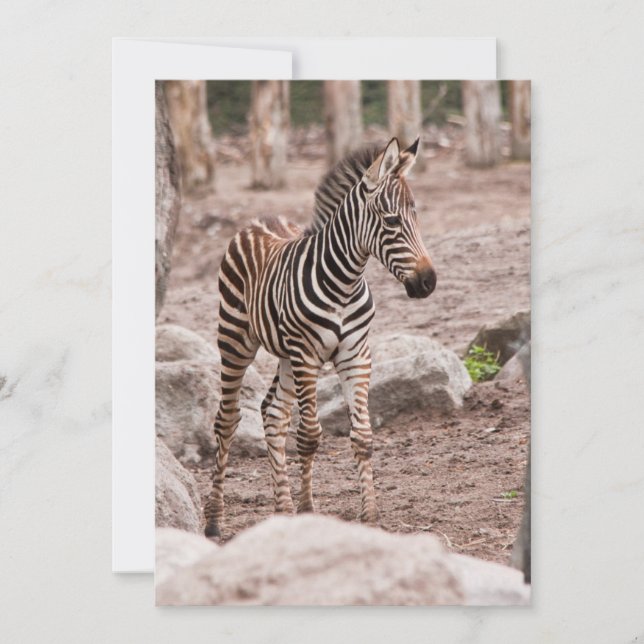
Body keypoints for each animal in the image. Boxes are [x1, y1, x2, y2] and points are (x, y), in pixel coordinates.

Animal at [204, 137, 436, 538]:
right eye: (392, 221)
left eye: (417, 216)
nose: (429, 282)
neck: (345, 282)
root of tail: (261, 219)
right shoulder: (307, 355)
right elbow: (310, 436)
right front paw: (308, 511)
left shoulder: (355, 355)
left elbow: (362, 437)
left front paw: (367, 517)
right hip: (236, 339)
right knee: (228, 420)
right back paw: (215, 521)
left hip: (284, 354)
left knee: (273, 413)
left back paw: (281, 510)